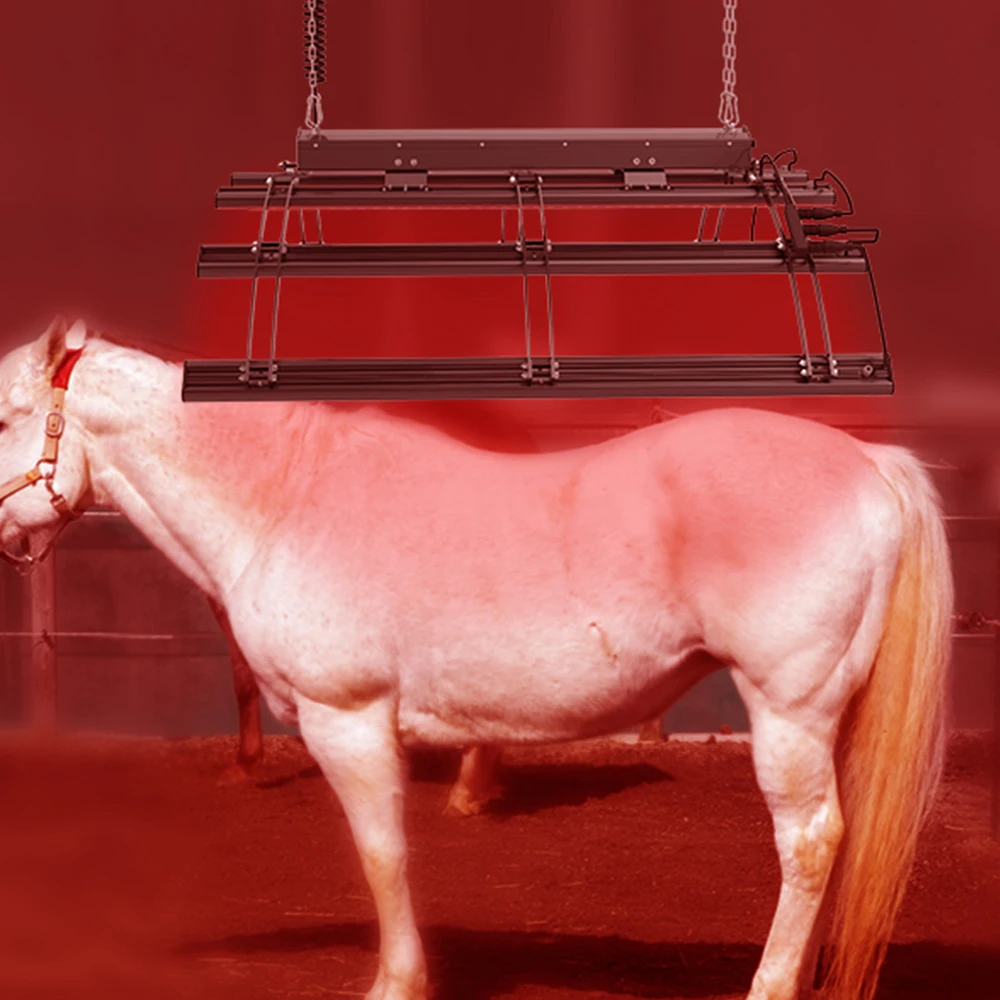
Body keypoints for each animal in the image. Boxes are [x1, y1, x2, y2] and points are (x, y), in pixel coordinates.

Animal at [0, 318, 952, 1000]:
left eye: (6, 414)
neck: (285, 497)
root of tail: (869, 461)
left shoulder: (348, 721)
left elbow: (381, 855)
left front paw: (396, 984)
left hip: (788, 712)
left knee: (811, 843)